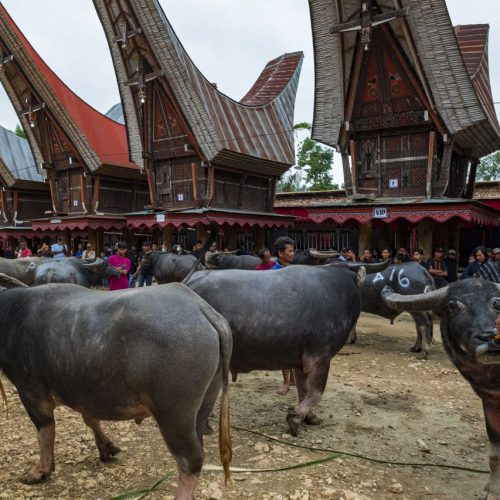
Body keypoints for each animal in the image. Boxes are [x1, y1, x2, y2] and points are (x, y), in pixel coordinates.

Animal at [186, 262, 384, 434]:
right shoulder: (320, 357)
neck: (341, 290)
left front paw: (310, 417)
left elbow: (303, 390)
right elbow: (316, 392)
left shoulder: (300, 362)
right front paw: (294, 418)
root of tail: (189, 283)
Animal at [382, 280, 500, 498]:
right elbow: (496, 455)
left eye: (496, 303)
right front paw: (493, 491)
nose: (489, 338)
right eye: (453, 306)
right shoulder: (490, 401)